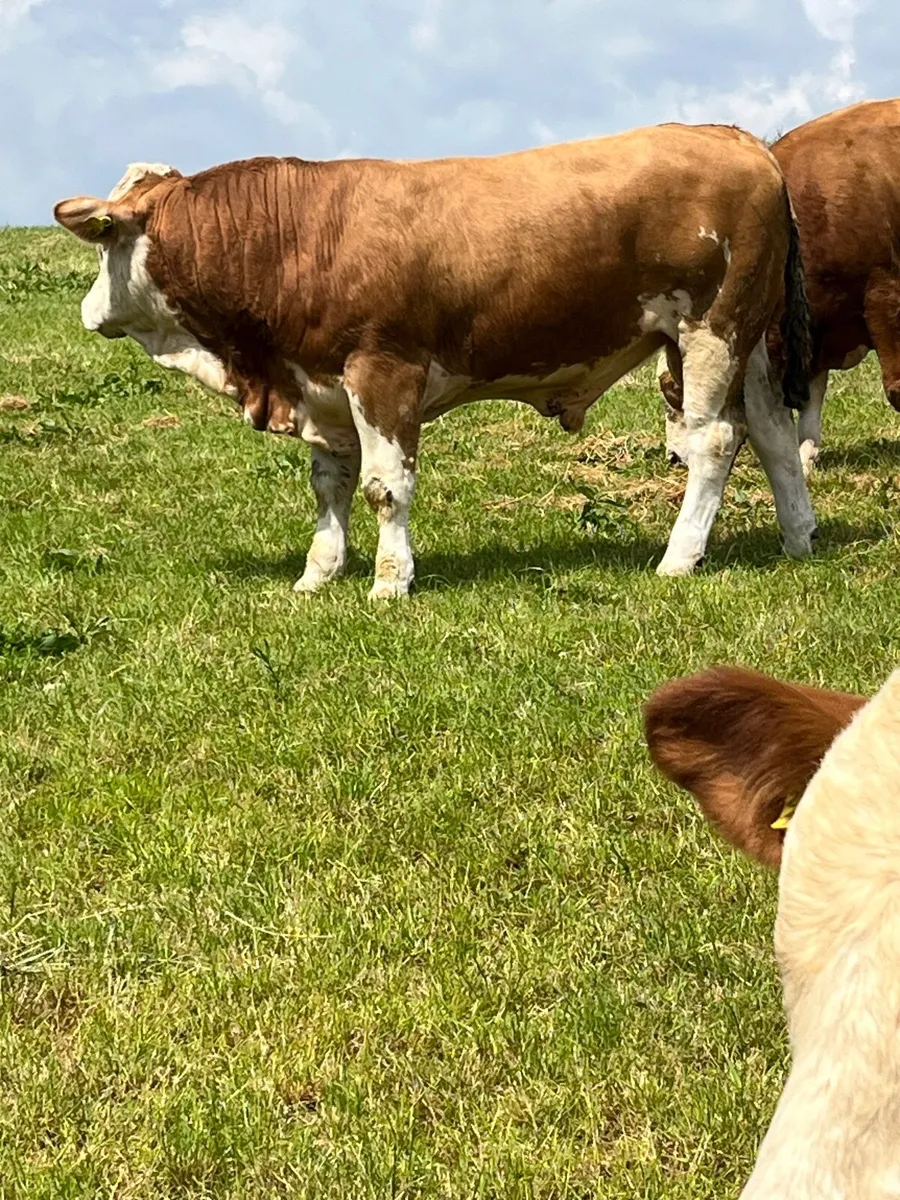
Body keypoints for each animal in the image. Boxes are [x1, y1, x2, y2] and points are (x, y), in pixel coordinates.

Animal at [53, 125, 817, 600]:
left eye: (104, 237)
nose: (88, 312)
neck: (294, 238)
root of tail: (735, 138)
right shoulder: (323, 386)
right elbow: (330, 487)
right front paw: (319, 573)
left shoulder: (382, 373)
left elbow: (384, 487)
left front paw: (390, 580)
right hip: (747, 339)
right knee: (774, 433)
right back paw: (799, 537)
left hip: (710, 330)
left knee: (714, 440)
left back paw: (679, 557)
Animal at [663, 98, 900, 475]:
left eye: (675, 392)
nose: (673, 457)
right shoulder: (814, 329)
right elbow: (811, 404)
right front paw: (804, 458)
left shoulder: (884, 295)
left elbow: (896, 389)